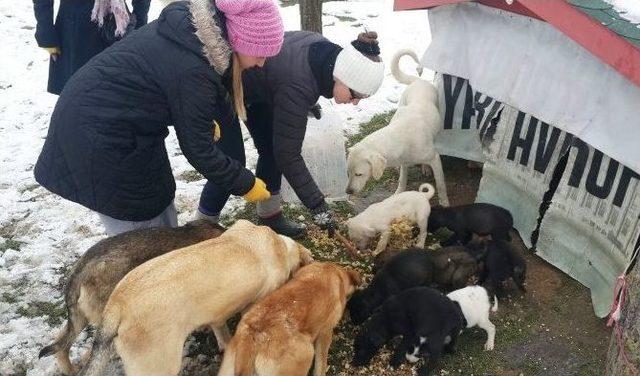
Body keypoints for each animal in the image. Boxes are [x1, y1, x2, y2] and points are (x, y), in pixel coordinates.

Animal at [79, 219, 314, 376]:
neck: (278, 244)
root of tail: (117, 304)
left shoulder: (217, 313)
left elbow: (221, 330)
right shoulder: (255, 303)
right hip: (159, 366)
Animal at [344, 48, 450, 206]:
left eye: (359, 174)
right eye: (348, 173)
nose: (348, 191)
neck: (398, 136)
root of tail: (418, 81)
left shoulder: (435, 160)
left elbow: (441, 184)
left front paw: (444, 202)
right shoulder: (404, 162)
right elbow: (402, 179)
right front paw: (398, 193)